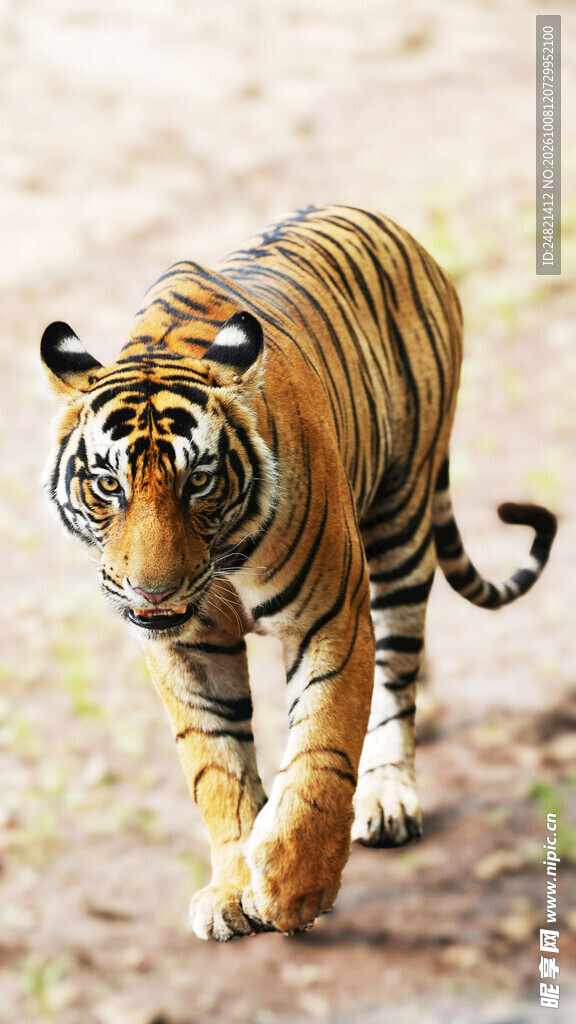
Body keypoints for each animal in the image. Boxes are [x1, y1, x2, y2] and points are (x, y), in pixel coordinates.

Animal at [41, 205, 556, 941]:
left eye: (199, 481)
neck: (221, 566)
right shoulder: (184, 646)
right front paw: (232, 889)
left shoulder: (330, 616)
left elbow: (321, 749)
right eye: (109, 485)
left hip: (400, 523)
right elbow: (216, 765)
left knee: (397, 673)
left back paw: (388, 795)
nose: (153, 590)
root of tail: (389, 224)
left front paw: (291, 889)